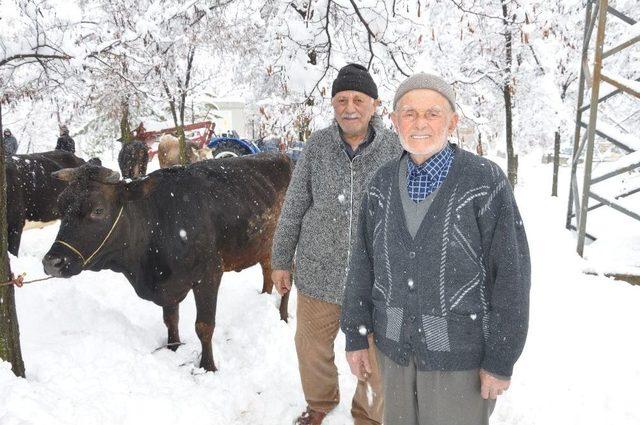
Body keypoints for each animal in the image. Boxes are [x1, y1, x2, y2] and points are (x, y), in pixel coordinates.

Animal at [43, 153, 294, 372]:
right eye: (60, 207)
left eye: (98, 209)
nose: (52, 262)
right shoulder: (168, 284)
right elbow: (170, 319)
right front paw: (173, 348)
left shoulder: (209, 274)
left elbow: (204, 326)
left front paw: (208, 367)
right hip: (264, 248)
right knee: (267, 271)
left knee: (286, 283)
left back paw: (282, 317)